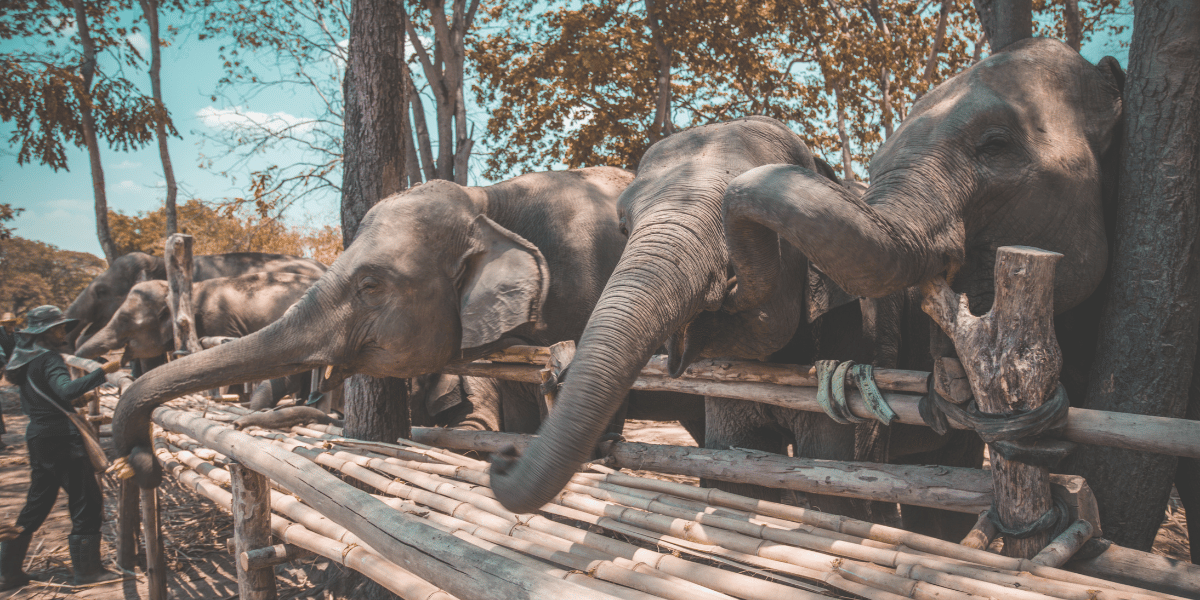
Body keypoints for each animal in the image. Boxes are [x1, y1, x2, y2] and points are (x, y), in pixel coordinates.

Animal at [484, 38, 1123, 525]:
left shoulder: (855, 330)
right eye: (622, 226)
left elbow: (831, 475)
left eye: (740, 227)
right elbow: (732, 470)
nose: (502, 459)